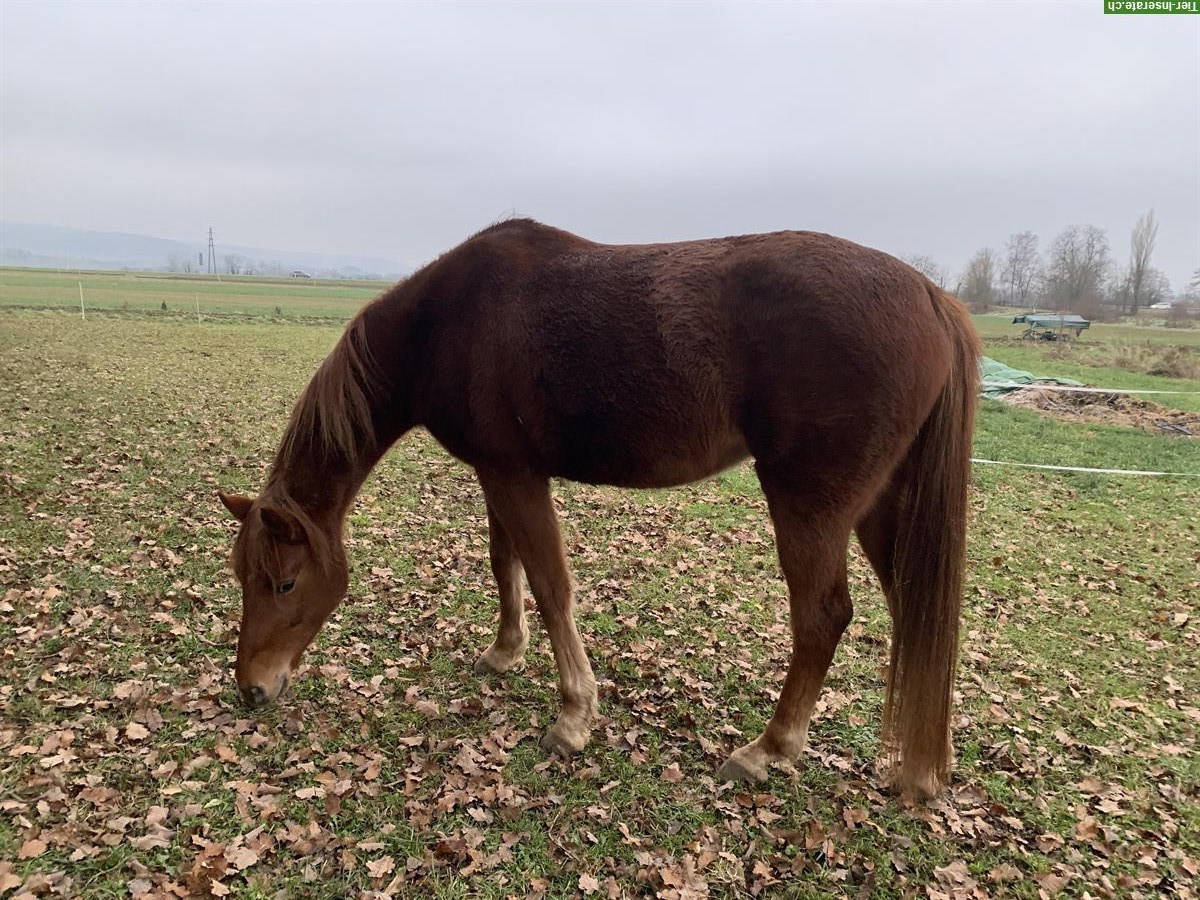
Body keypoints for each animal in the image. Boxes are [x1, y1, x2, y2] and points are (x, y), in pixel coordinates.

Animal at [220, 218, 979, 796]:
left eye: (283, 583)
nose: (251, 690)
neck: (443, 322)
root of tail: (931, 296)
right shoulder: (498, 473)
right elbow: (505, 563)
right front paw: (505, 652)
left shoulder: (517, 477)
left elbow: (551, 584)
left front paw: (573, 718)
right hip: (883, 505)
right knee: (917, 610)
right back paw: (922, 770)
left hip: (809, 507)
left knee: (823, 618)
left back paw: (768, 750)